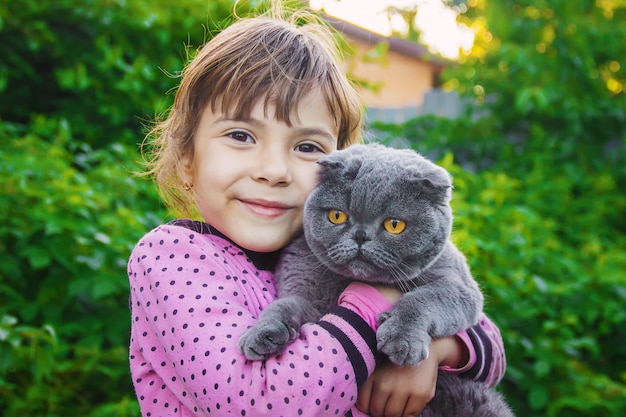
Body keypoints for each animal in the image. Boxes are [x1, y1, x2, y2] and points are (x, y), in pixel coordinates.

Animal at [236, 142, 510, 412]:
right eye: (337, 215)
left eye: (394, 225)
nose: (360, 235)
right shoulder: (307, 290)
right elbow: (285, 304)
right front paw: (261, 334)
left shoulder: (460, 288)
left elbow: (422, 298)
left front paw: (401, 338)